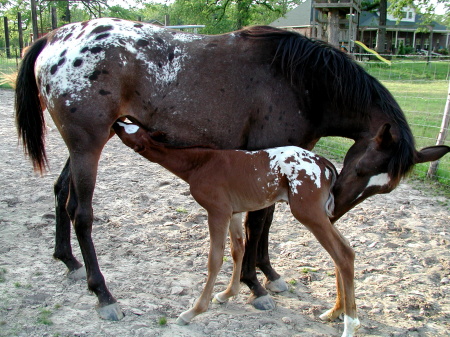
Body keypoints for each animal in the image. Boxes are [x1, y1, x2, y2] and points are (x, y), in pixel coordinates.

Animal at [114, 120, 360, 334]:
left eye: (129, 130)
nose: (117, 122)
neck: (200, 163)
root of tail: (325, 164)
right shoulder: (234, 213)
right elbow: (237, 250)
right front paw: (227, 294)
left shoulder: (217, 212)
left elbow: (214, 260)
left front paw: (193, 311)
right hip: (319, 215)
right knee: (344, 250)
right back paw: (335, 312)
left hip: (309, 213)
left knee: (343, 253)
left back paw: (350, 325)